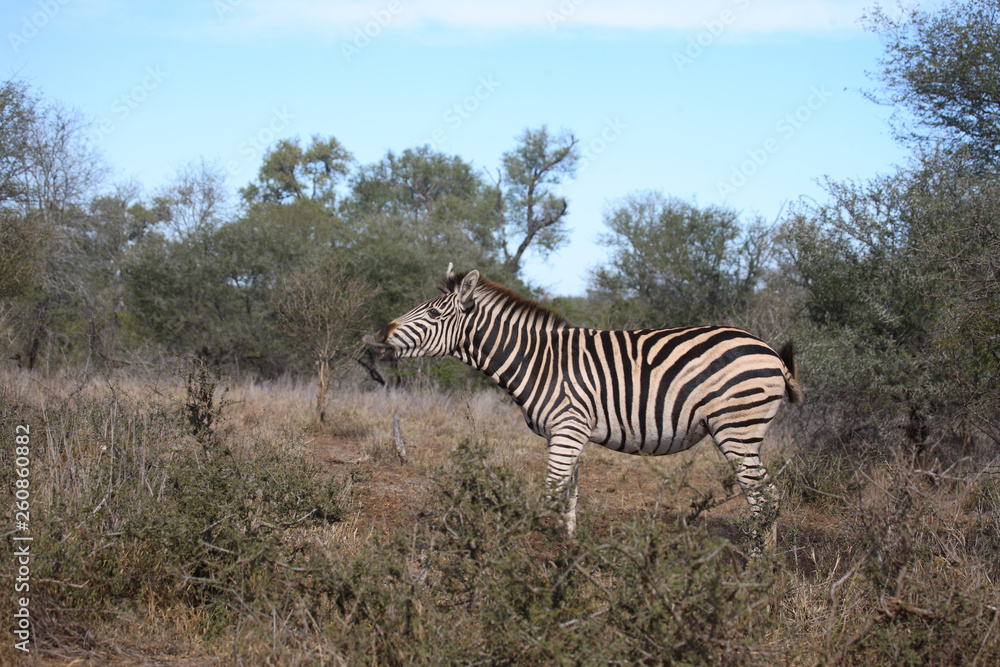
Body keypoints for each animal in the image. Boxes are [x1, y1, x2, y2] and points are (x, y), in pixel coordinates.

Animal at [364, 265, 802, 556]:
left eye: (434, 314)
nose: (377, 337)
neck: (538, 361)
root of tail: (768, 350)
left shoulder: (567, 430)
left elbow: (550, 494)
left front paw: (524, 557)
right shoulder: (568, 435)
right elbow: (569, 497)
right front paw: (568, 551)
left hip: (737, 429)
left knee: (764, 496)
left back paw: (758, 566)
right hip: (743, 431)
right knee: (767, 496)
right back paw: (765, 561)